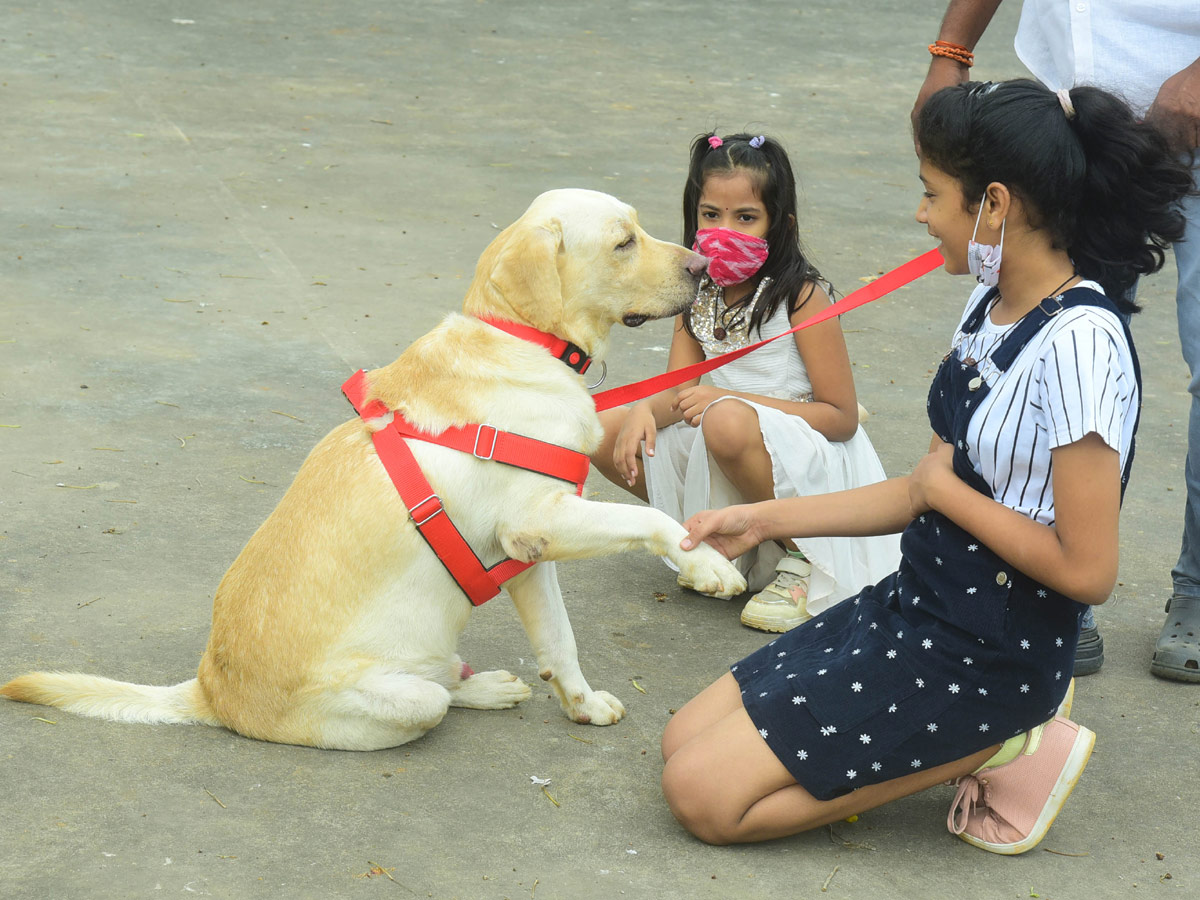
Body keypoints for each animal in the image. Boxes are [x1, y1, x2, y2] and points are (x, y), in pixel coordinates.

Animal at [2, 187, 748, 748]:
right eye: (624, 241)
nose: (702, 268)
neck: (517, 338)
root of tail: (209, 693)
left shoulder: (528, 554)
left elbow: (560, 642)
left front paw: (583, 704)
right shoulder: (537, 520)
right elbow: (653, 519)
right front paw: (708, 563)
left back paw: (486, 684)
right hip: (407, 698)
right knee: (436, 698)